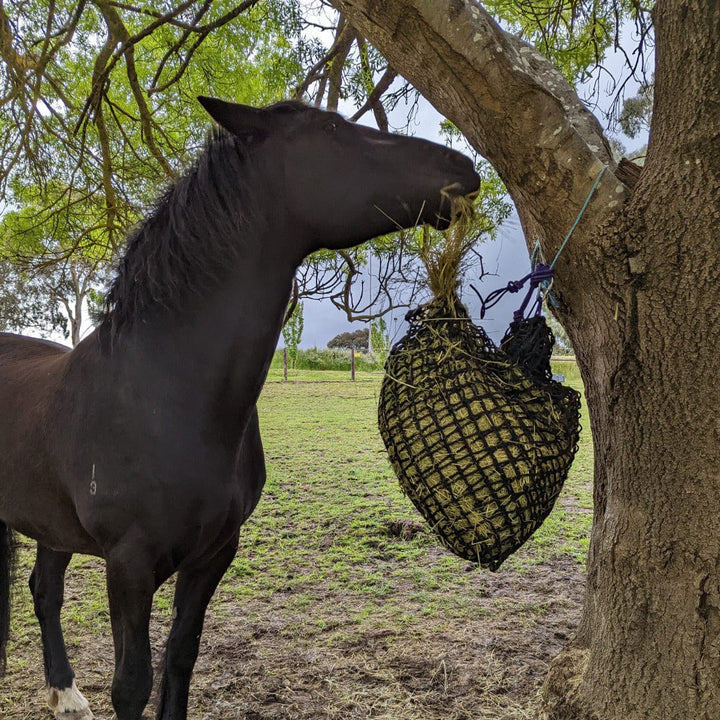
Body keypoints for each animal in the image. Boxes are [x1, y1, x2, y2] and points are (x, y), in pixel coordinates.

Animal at [1, 97, 484, 720]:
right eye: (330, 128)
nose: (462, 166)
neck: (164, 393)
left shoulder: (213, 555)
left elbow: (179, 660)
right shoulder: (128, 565)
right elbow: (132, 683)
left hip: (51, 524)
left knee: (44, 590)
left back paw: (66, 695)